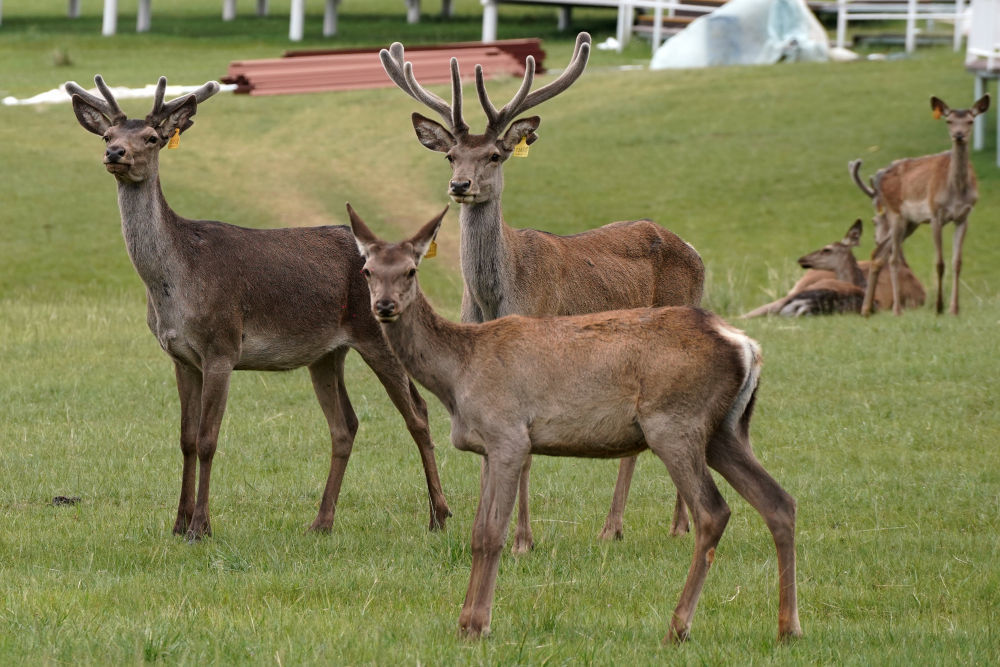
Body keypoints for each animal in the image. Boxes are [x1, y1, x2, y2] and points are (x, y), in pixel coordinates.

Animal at [64, 74, 452, 544]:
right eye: (107, 135)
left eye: (152, 138)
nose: (115, 154)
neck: (173, 285)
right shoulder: (180, 357)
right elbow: (185, 439)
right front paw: (177, 524)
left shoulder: (222, 345)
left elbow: (208, 439)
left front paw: (201, 527)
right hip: (327, 353)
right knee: (345, 425)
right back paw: (321, 522)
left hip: (375, 332)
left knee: (418, 413)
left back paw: (439, 516)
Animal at [348, 206, 800, 644]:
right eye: (367, 270)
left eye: (411, 270)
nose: (384, 306)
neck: (458, 374)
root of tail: (747, 346)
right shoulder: (490, 446)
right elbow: (477, 532)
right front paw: (465, 622)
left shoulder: (508, 434)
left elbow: (492, 534)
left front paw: (478, 624)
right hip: (725, 430)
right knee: (779, 501)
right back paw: (787, 627)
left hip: (675, 422)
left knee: (713, 511)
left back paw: (678, 627)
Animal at [380, 31, 704, 552]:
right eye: (451, 155)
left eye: (494, 155)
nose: (459, 185)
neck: (497, 296)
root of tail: (694, 251)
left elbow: (526, 454)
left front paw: (522, 539)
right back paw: (623, 526)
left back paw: (668, 526)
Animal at [848, 93, 988, 318]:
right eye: (949, 121)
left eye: (970, 121)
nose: (958, 135)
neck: (956, 191)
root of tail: (880, 180)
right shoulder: (935, 215)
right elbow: (939, 263)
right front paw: (939, 308)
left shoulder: (964, 216)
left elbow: (957, 262)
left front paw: (954, 309)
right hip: (895, 214)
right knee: (893, 258)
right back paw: (896, 309)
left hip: (910, 223)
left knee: (879, 254)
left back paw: (866, 310)